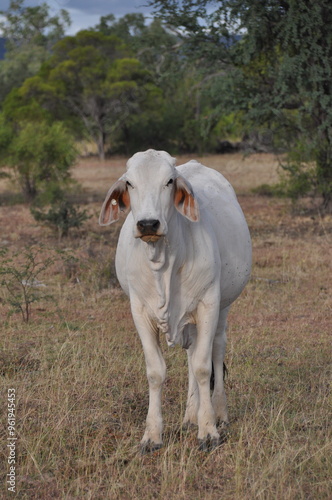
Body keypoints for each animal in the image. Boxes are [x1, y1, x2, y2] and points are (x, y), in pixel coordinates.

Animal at [100, 148, 250, 454]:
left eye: (169, 181)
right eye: (129, 183)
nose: (148, 224)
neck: (163, 263)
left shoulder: (209, 305)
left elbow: (205, 367)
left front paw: (209, 431)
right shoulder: (139, 312)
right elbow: (156, 371)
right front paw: (152, 435)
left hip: (223, 308)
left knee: (215, 351)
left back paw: (219, 412)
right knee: (192, 355)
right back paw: (190, 417)